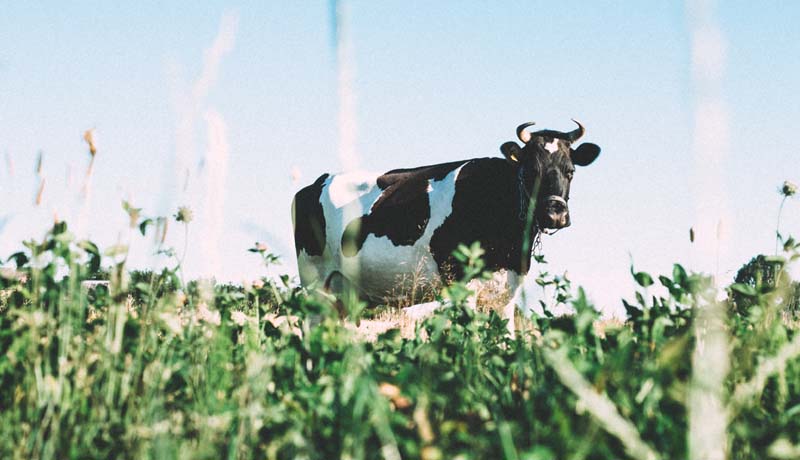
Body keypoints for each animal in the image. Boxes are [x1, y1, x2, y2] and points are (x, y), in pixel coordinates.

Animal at [292, 120, 600, 332]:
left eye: (570, 171)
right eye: (531, 170)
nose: (554, 214)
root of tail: (316, 182)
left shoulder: (507, 291)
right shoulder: (462, 282)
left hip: (343, 294)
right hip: (315, 282)